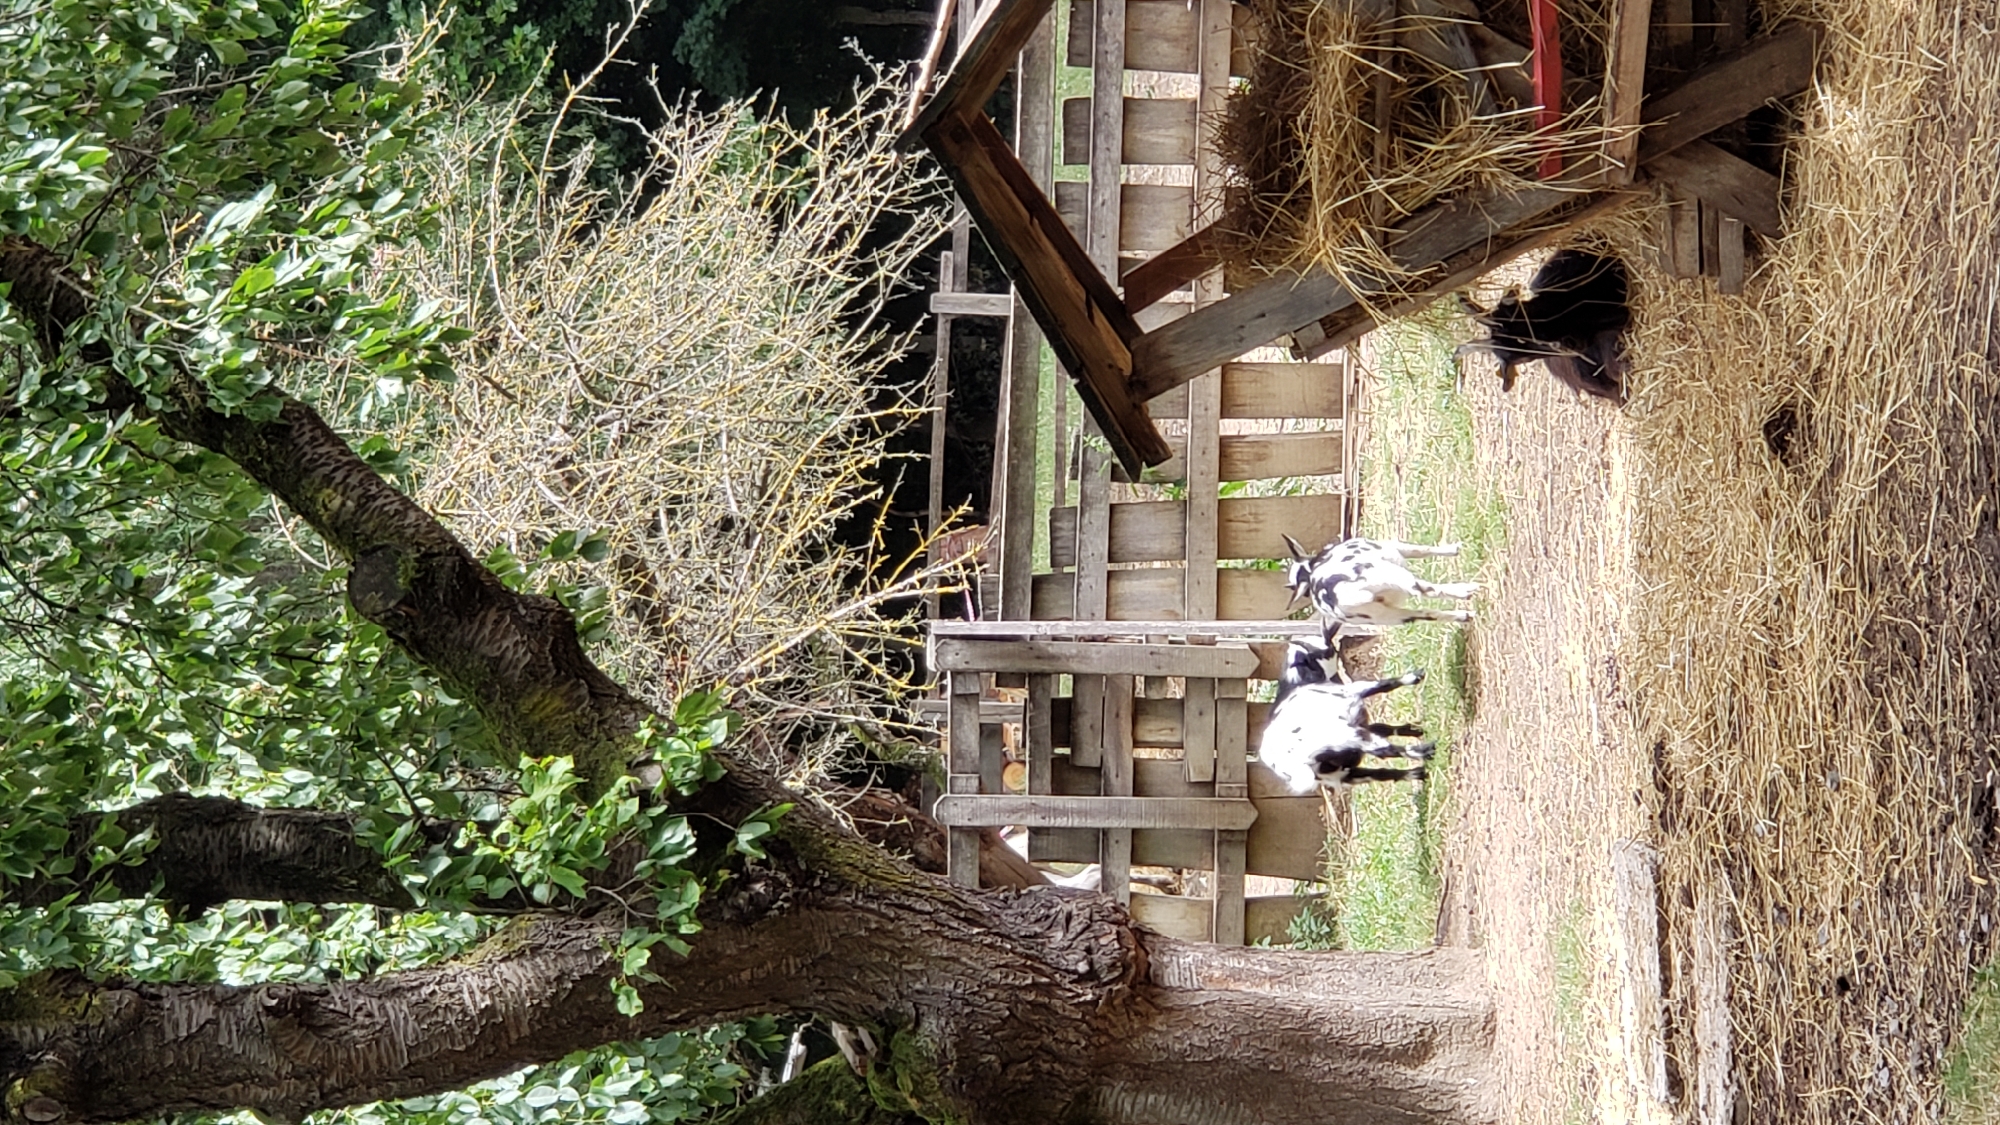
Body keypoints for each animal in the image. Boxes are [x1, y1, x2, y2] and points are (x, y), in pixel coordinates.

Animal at [1259, 635, 1433, 794]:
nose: (1334, 649)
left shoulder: (1358, 721)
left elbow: (1384, 727)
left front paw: (1415, 729)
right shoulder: (1354, 693)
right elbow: (1384, 685)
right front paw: (1416, 676)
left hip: (1339, 773)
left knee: (1379, 773)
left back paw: (1417, 773)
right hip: (1347, 738)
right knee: (1386, 751)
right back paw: (1426, 752)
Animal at [1283, 534, 1479, 629]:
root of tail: (1334, 594)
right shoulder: (1394, 547)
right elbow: (1422, 550)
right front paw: (1453, 549)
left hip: (1390, 617)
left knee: (1427, 614)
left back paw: (1465, 616)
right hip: (1394, 575)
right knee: (1428, 591)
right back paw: (1467, 591)